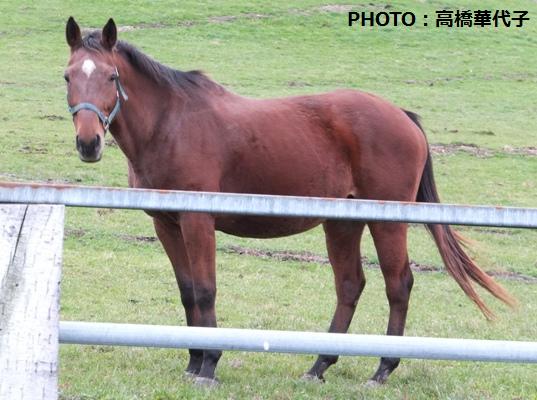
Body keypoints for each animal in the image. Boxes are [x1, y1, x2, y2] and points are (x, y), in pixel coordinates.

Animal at [64, 17, 516, 386]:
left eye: (111, 76)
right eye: (68, 76)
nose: (88, 143)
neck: (171, 124)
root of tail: (402, 116)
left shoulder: (198, 221)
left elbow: (207, 290)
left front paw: (209, 364)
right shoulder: (166, 223)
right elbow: (188, 290)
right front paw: (192, 361)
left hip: (387, 222)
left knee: (398, 284)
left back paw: (382, 369)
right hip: (343, 224)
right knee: (350, 285)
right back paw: (320, 365)